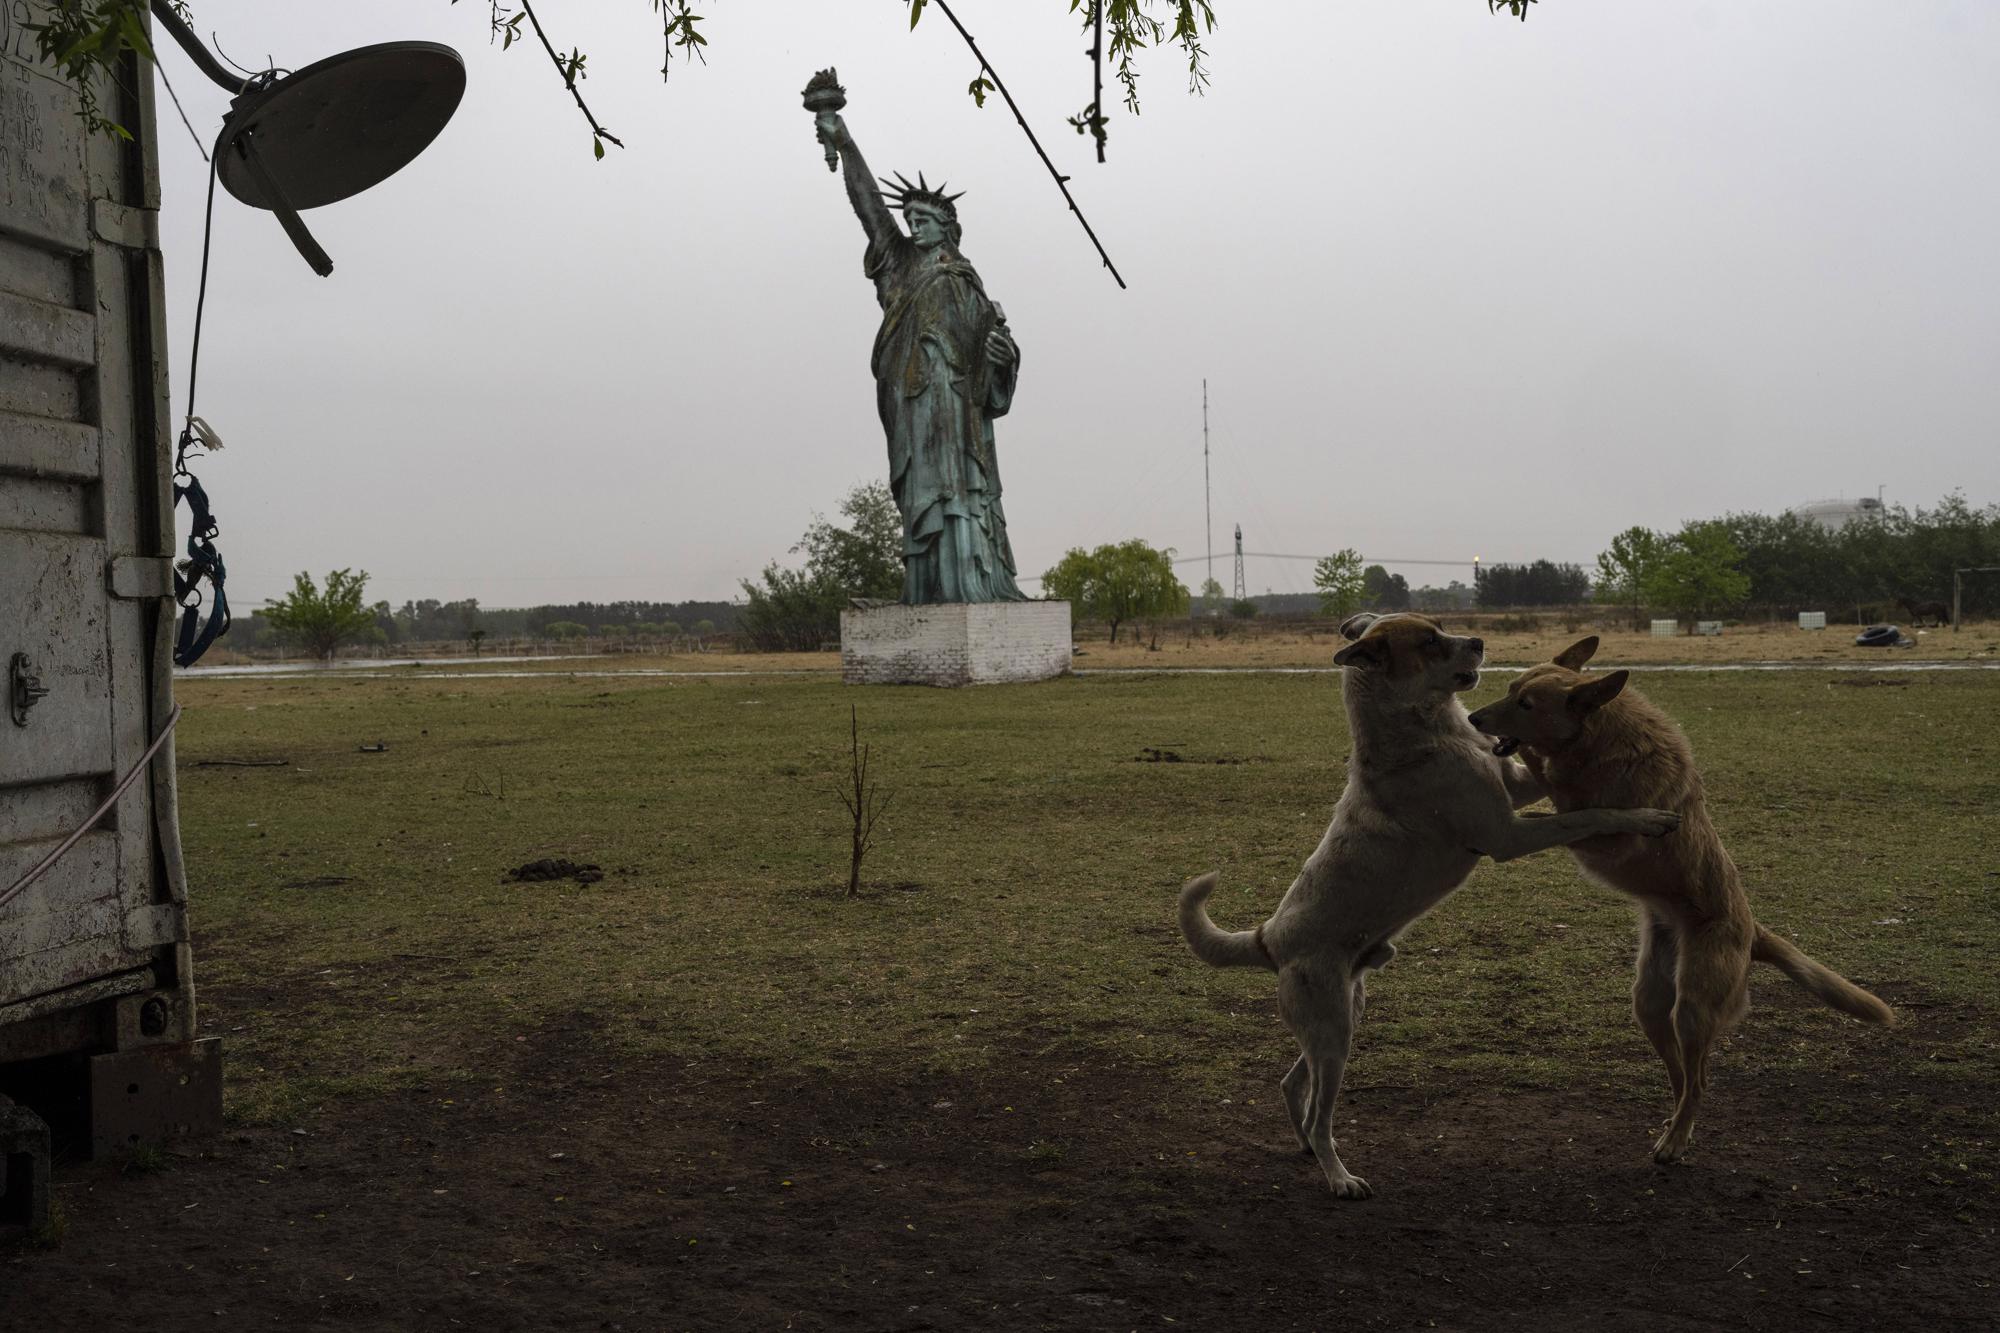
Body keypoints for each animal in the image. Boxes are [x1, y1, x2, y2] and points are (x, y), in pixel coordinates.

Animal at [1176, 612, 1680, 1192]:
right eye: (1429, 642)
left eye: (1439, 626)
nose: (1479, 641)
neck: (1429, 731)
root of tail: (1268, 938)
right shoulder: (1508, 835)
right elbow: (1588, 816)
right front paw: (1648, 818)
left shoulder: (1514, 788)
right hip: (1332, 1032)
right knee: (1322, 1114)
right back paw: (1339, 1176)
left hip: (1345, 1015)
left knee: (1292, 1084)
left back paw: (1305, 1145)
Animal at [1464, 636, 1896, 1160]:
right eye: (1510, 690)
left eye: (1526, 704)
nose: (1474, 719)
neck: (1598, 743)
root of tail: (1753, 932)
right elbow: (1561, 795)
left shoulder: (1603, 836)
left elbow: (1577, 806)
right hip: (1650, 1003)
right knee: (1681, 1077)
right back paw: (1672, 1125)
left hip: (1693, 1006)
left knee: (1700, 1081)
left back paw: (1675, 1140)